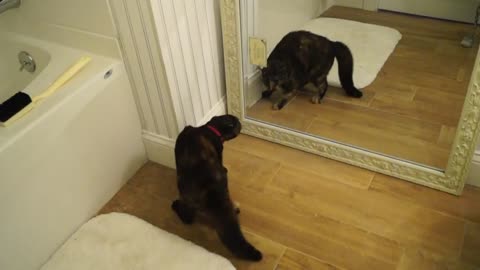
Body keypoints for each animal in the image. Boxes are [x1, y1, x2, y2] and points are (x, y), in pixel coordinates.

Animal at [172, 114, 262, 262]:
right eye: (236, 122)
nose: (240, 122)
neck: (209, 128)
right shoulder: (219, 151)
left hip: (186, 196)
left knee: (187, 217)